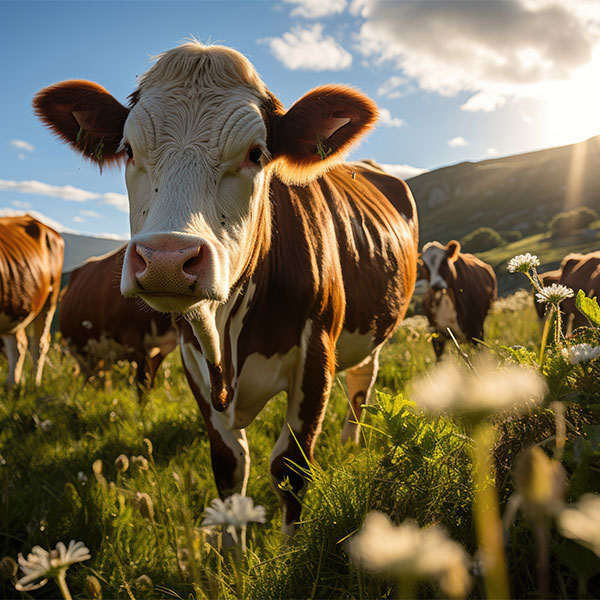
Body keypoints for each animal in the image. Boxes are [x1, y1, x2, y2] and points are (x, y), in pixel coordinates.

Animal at [0, 214, 64, 384]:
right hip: (14, 306)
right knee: (19, 345)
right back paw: (12, 385)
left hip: (51, 298)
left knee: (40, 344)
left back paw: (35, 385)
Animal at [59, 246, 179, 396]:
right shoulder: (133, 341)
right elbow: (142, 384)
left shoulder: (162, 348)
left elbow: (149, 384)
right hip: (79, 351)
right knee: (87, 376)